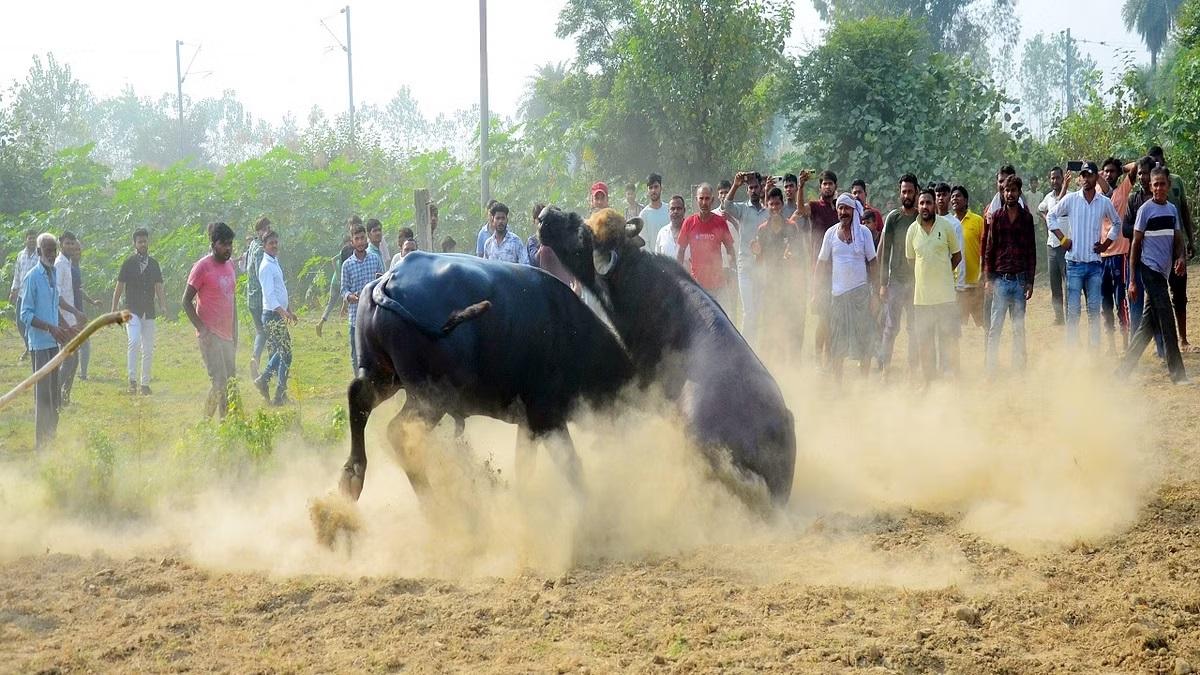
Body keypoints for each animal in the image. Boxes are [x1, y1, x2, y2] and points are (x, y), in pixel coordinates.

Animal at [340, 251, 633, 499]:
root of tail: (388, 279)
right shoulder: (547, 416)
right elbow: (570, 464)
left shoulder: (528, 424)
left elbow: (524, 465)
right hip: (430, 396)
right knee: (400, 432)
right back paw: (434, 504)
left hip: (383, 375)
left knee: (358, 397)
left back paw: (352, 477)